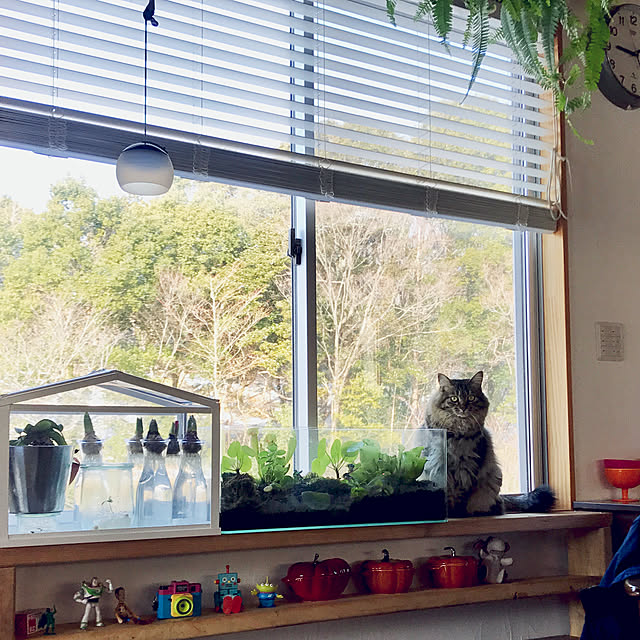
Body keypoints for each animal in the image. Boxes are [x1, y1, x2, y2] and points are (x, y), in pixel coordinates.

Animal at [422, 371, 555, 518]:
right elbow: (448, 491)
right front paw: (449, 513)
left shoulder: (469, 467)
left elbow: (462, 494)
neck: (458, 433)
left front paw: (459, 514)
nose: (463, 408)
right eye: (454, 399)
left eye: (471, 398)